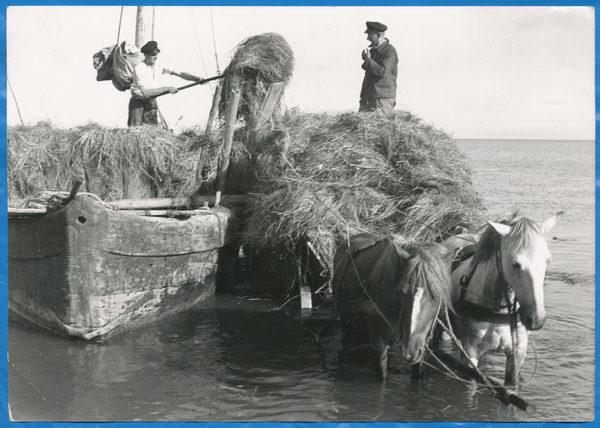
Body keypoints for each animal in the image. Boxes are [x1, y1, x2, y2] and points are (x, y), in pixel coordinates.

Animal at [332, 234, 450, 378]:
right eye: (403, 291)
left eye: (437, 295)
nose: (409, 352)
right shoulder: (379, 344)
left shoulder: (421, 346)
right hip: (345, 319)